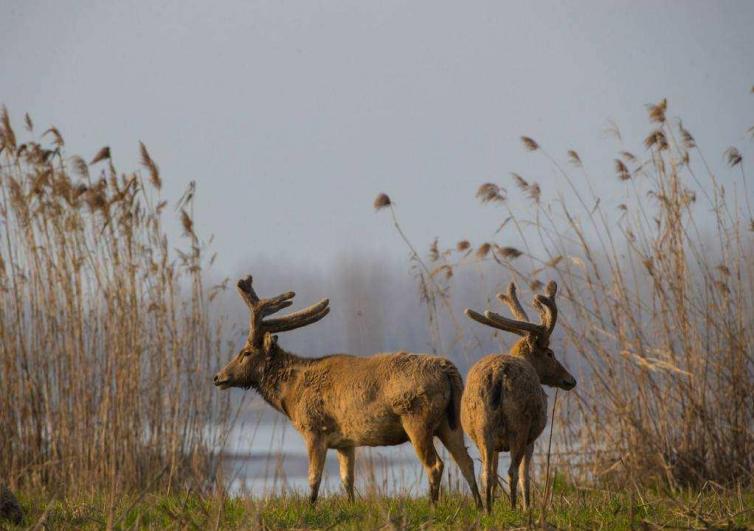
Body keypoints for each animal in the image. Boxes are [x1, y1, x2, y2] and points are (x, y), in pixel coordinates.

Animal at [213, 276, 482, 510]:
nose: (218, 377)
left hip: (417, 418)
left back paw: (433, 506)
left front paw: (310, 508)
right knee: (466, 461)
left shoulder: (314, 428)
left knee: (435, 465)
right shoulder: (345, 442)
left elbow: (314, 477)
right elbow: (346, 480)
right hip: (451, 422)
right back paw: (480, 506)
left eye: (246, 352)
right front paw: (351, 506)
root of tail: (449, 370)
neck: (292, 394)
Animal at [458, 280, 576, 512]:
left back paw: (488, 510)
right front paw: (527, 506)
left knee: (486, 473)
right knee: (512, 471)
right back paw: (514, 508)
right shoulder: (532, 438)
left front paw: (494, 502)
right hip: (520, 425)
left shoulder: (494, 443)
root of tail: (498, 375)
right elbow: (525, 476)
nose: (570, 380)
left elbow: (494, 473)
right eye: (550, 353)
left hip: (482, 428)